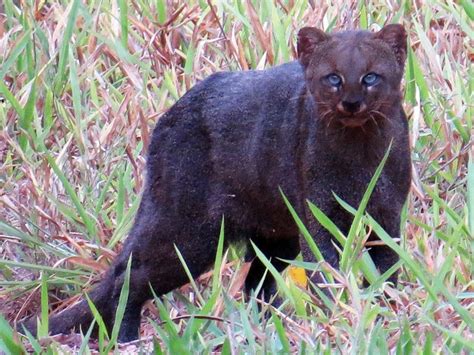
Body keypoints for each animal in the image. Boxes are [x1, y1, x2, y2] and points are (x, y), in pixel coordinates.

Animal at [20, 24, 410, 342]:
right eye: (333, 77)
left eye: (371, 77)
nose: (351, 103)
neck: (359, 159)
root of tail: (166, 120)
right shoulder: (318, 215)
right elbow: (326, 271)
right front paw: (338, 316)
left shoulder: (388, 215)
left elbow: (387, 269)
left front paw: (384, 312)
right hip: (189, 235)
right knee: (126, 277)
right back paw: (126, 339)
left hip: (274, 237)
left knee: (255, 286)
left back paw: (262, 329)